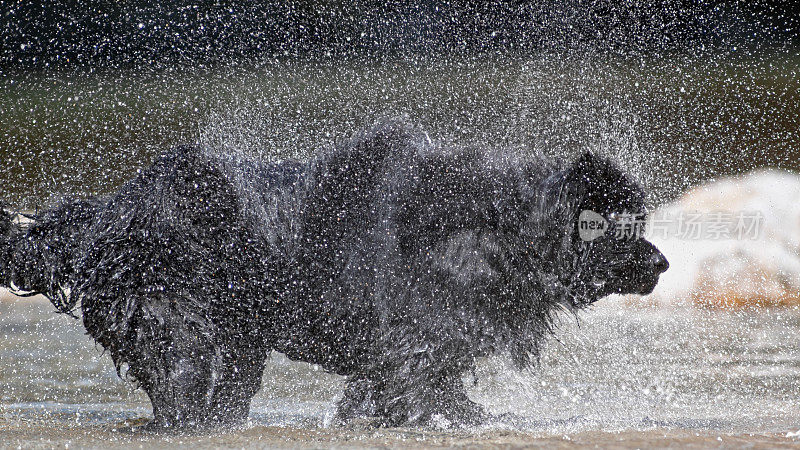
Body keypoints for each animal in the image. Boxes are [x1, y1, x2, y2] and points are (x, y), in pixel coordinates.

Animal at [1, 119, 668, 428]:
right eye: (621, 228)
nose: (663, 263)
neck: (494, 232)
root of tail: (110, 211)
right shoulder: (413, 348)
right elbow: (421, 391)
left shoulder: (415, 354)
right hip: (175, 324)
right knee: (179, 384)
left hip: (241, 338)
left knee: (224, 393)